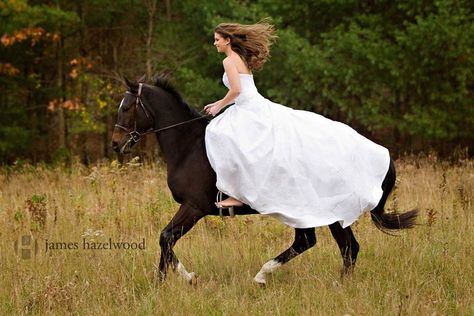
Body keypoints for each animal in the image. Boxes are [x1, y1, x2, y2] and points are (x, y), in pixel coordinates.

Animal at [112, 78, 418, 286]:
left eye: (126, 108)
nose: (116, 144)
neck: (189, 146)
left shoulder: (193, 207)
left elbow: (165, 238)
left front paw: (183, 278)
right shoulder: (192, 208)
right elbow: (166, 240)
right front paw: (166, 282)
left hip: (325, 213)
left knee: (329, 245)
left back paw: (271, 275)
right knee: (334, 245)